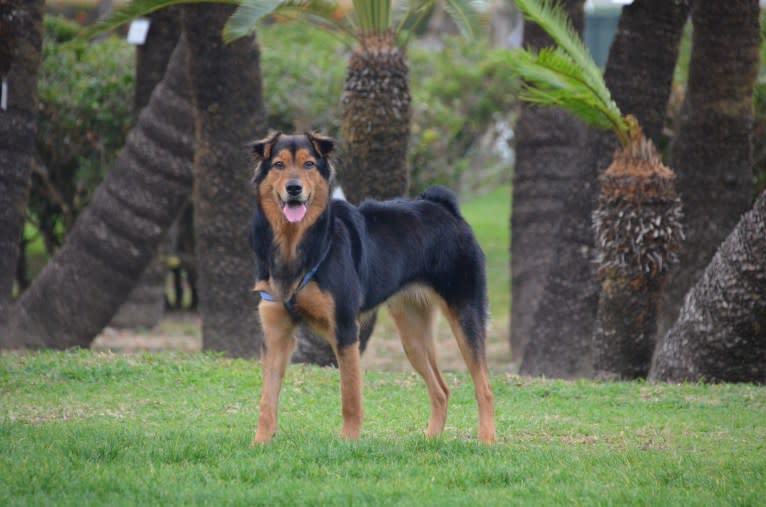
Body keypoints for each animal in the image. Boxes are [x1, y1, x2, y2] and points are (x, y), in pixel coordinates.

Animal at [249, 131, 496, 444]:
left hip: (465, 315)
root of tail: (443, 206)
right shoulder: (276, 333)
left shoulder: (345, 329)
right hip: (412, 335)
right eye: (279, 165)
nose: (294, 189)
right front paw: (260, 442)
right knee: (441, 389)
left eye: (308, 164)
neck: (298, 243)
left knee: (484, 388)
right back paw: (430, 439)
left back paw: (487, 440)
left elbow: (350, 395)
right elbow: (266, 399)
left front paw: (348, 441)